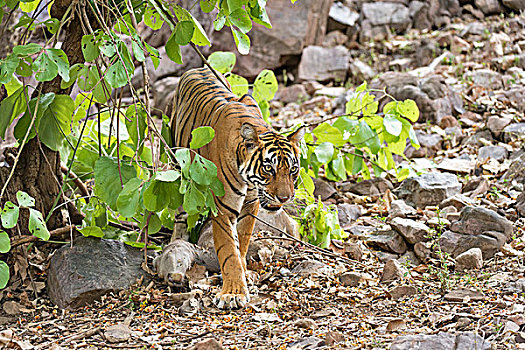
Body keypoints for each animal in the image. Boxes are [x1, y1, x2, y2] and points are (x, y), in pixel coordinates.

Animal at [170, 66, 304, 308]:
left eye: (292, 170)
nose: (285, 198)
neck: (249, 180)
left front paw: (242, 276)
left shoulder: (251, 205)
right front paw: (233, 293)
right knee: (180, 212)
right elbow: (229, 250)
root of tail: (198, 67)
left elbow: (241, 241)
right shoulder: (223, 208)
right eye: (268, 168)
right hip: (176, 163)